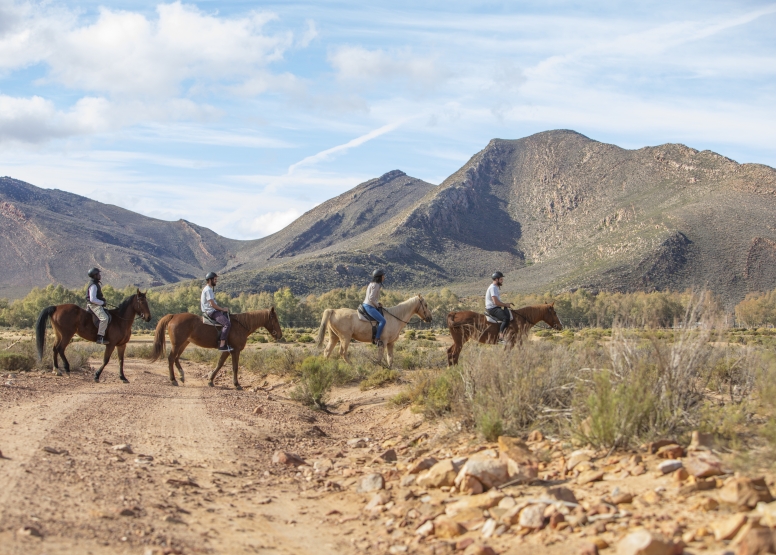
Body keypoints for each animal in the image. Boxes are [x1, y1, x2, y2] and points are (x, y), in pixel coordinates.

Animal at [150, 308, 284, 390]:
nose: (280, 335)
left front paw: (210, 381)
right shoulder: (235, 351)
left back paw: (181, 376)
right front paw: (237, 384)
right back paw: (173, 380)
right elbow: (235, 368)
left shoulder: (226, 351)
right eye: (275, 319)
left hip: (184, 343)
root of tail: (173, 316)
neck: (241, 326)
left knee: (176, 358)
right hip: (177, 344)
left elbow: (219, 364)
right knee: (171, 358)